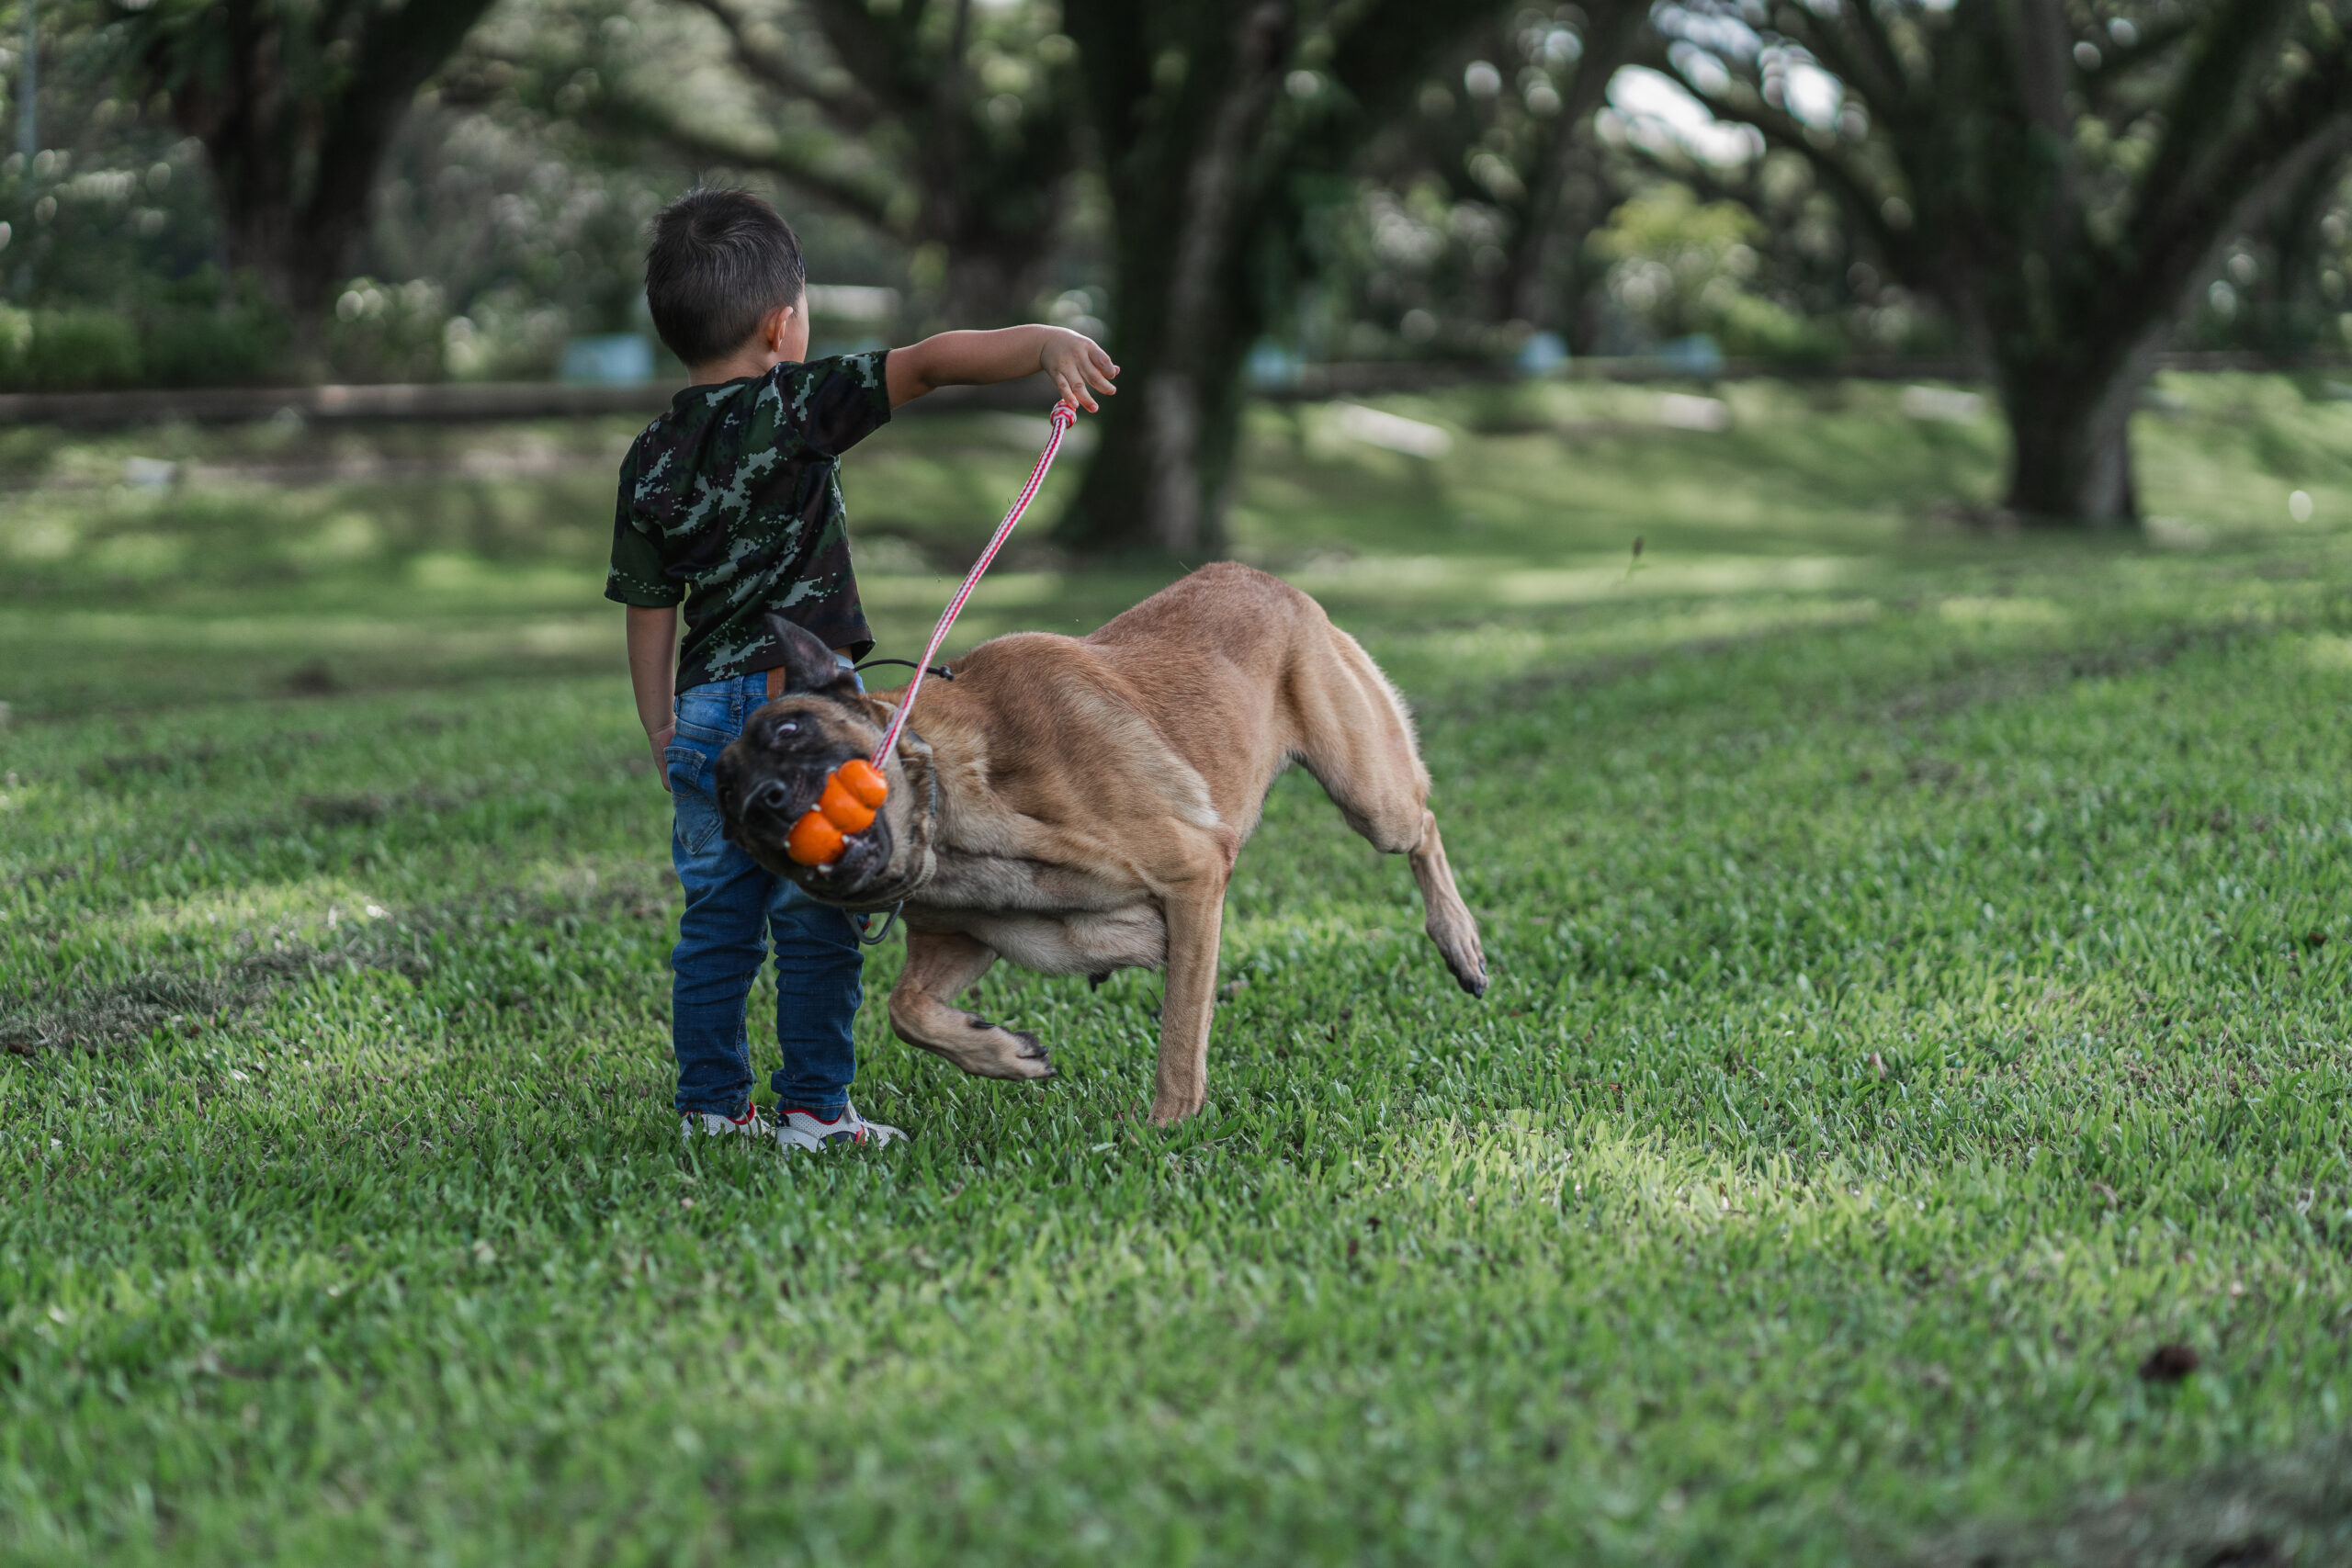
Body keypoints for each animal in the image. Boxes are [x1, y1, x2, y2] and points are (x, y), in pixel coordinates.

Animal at [710, 557, 1486, 1123]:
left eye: (789, 730)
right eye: (730, 811)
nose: (763, 805)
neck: (957, 796)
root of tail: (1261, 575)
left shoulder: (1194, 878)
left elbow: (1180, 1035)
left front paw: (1167, 1129)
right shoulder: (964, 939)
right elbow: (907, 1012)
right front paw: (1001, 1053)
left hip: (1369, 796)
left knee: (1423, 823)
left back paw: (1460, 939)